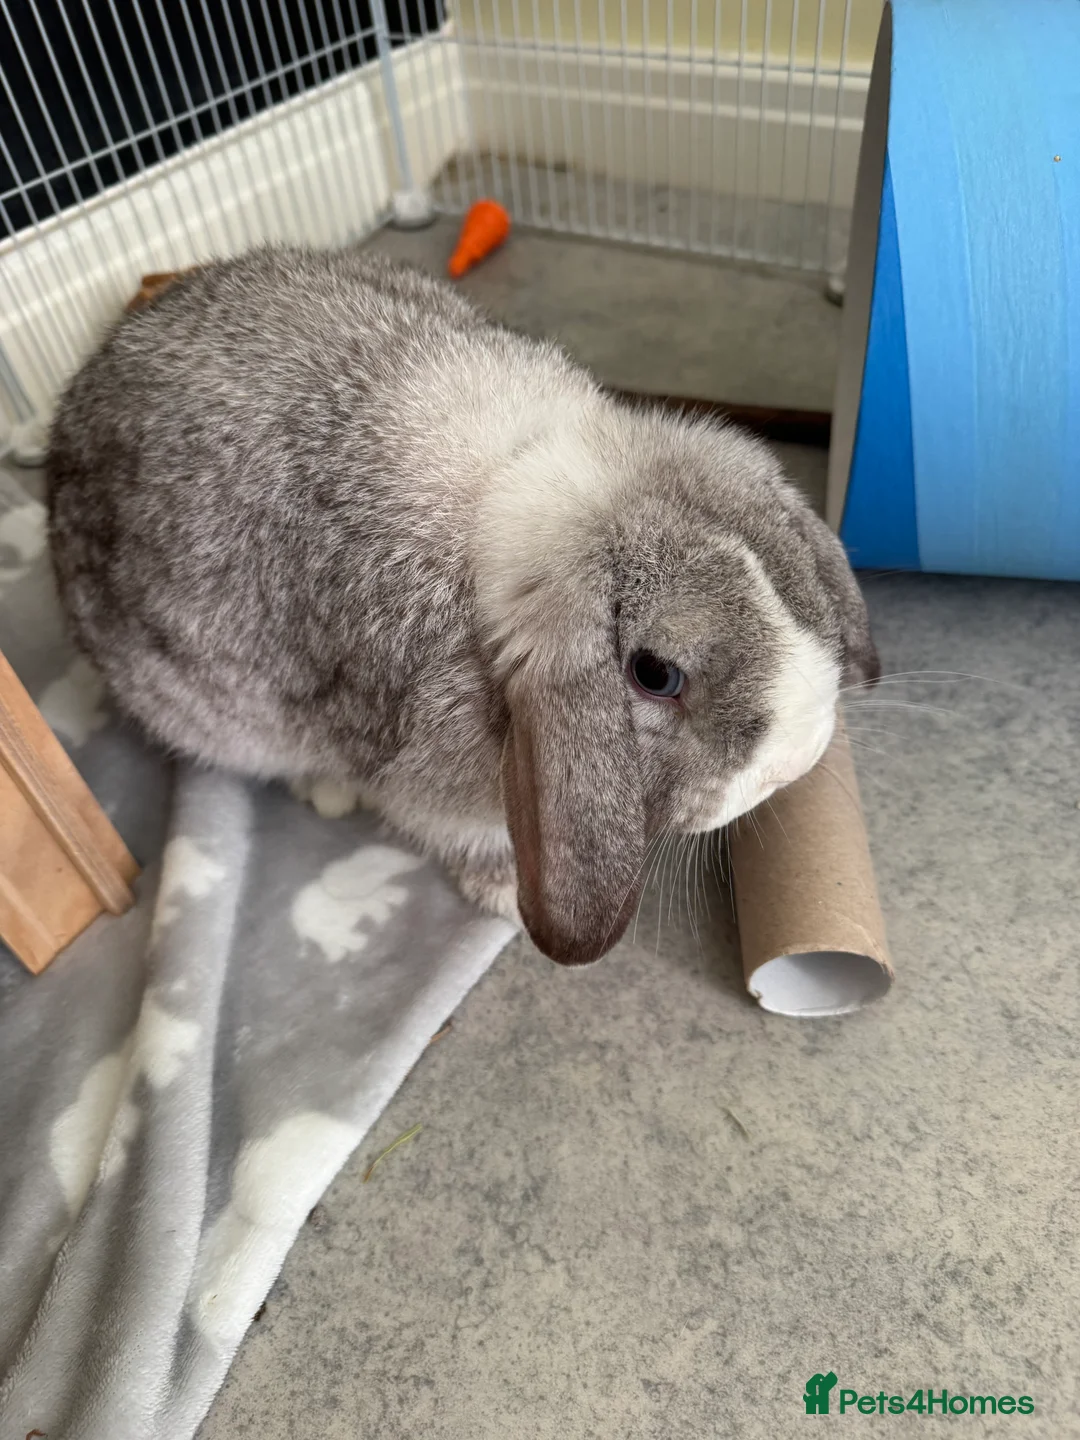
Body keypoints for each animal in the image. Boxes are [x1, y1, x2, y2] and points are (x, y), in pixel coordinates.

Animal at [46, 246, 879, 967]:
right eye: (654, 675)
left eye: (795, 574)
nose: (798, 761)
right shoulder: (425, 780)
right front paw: (502, 898)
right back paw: (327, 792)